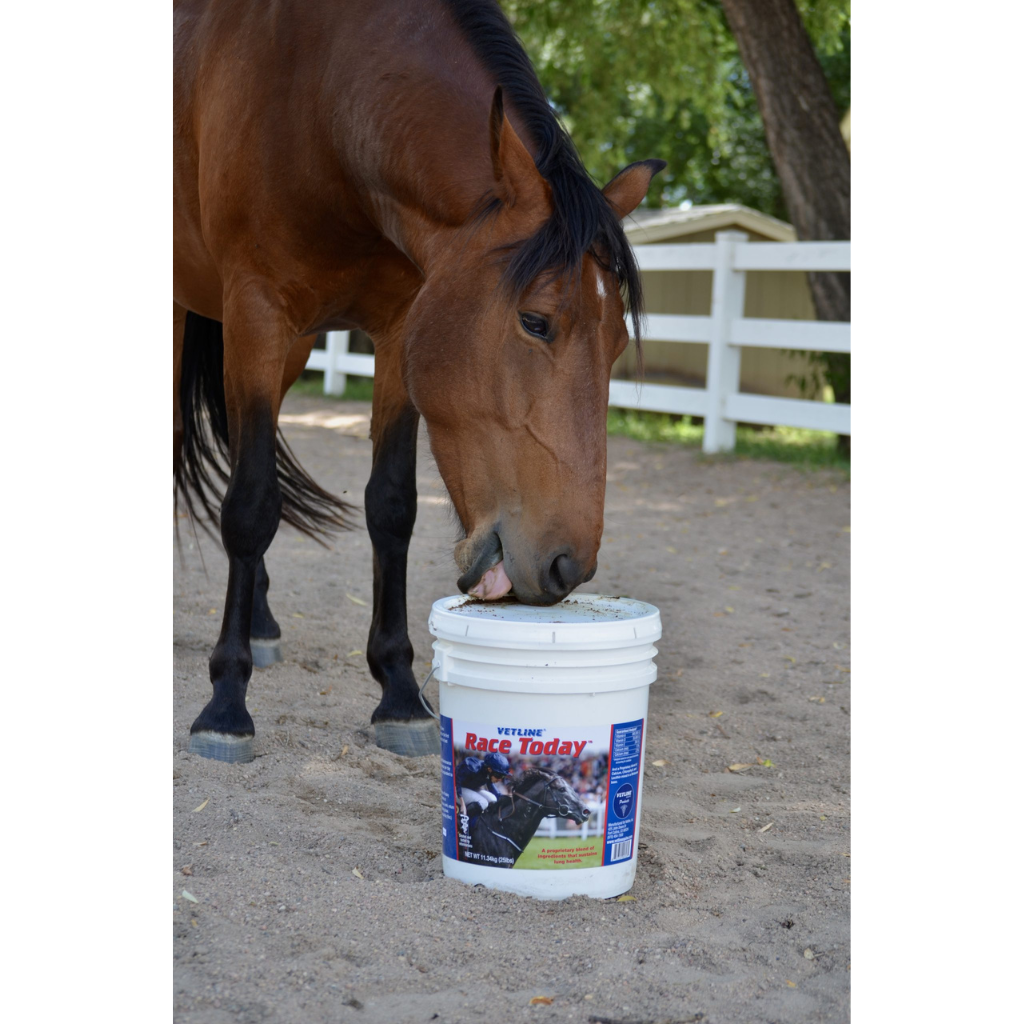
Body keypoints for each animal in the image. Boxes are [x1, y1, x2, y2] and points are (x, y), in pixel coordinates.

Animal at [173, 0, 665, 762]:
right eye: (536, 322)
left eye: (615, 342)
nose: (566, 567)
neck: (321, 93)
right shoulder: (255, 311)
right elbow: (250, 505)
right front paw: (226, 703)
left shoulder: (400, 325)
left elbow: (391, 507)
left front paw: (399, 693)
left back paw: (260, 620)